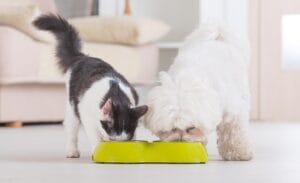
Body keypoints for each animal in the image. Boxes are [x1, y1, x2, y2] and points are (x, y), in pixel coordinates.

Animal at [32, 14, 148, 158]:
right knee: (71, 128)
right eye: (112, 141)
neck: (116, 94)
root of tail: (82, 57)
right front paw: (98, 151)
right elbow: (94, 136)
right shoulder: (87, 116)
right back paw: (72, 151)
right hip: (72, 107)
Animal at [145, 24, 253, 160]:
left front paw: (238, 153)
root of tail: (218, 36)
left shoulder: (233, 110)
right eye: (173, 129)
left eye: (191, 128)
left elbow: (233, 131)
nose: (180, 141)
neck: (186, 78)